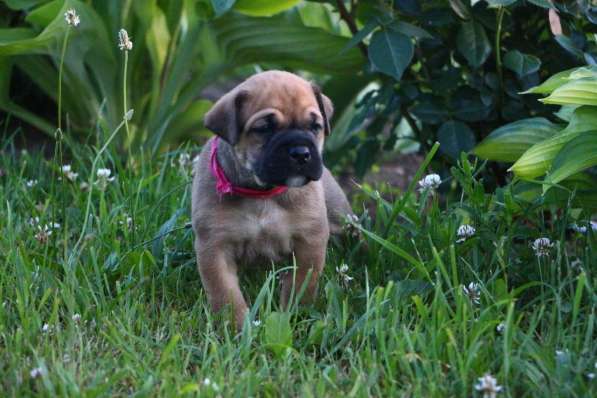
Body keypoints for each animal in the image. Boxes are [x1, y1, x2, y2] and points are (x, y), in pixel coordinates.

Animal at [191, 69, 352, 330]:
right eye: (264, 128)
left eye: (315, 126)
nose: (301, 153)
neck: (262, 193)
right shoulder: (214, 245)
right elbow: (225, 293)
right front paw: (236, 327)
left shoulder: (309, 241)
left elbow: (301, 285)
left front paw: (294, 315)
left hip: (344, 218)